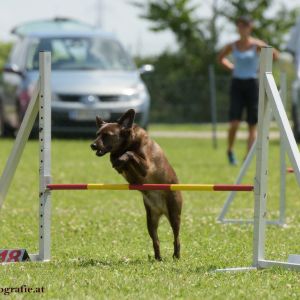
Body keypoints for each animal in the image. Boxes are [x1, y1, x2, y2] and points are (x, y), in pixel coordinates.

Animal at [89, 109, 183, 258]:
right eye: (97, 134)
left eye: (107, 135)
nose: (92, 145)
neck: (130, 142)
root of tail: (161, 210)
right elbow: (116, 158)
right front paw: (117, 160)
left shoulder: (146, 168)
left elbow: (130, 153)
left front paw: (121, 158)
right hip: (150, 220)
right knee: (156, 240)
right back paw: (158, 258)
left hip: (174, 214)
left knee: (176, 237)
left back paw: (176, 255)